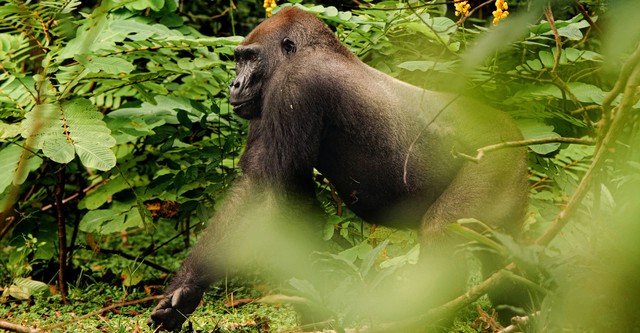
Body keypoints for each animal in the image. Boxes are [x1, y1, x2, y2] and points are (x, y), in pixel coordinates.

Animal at [150, 6, 528, 330]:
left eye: (251, 58)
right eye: (238, 60)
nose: (235, 85)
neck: (313, 51)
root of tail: (514, 131)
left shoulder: (294, 85)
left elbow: (275, 196)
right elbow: (261, 189)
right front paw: (185, 291)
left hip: (496, 158)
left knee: (441, 234)